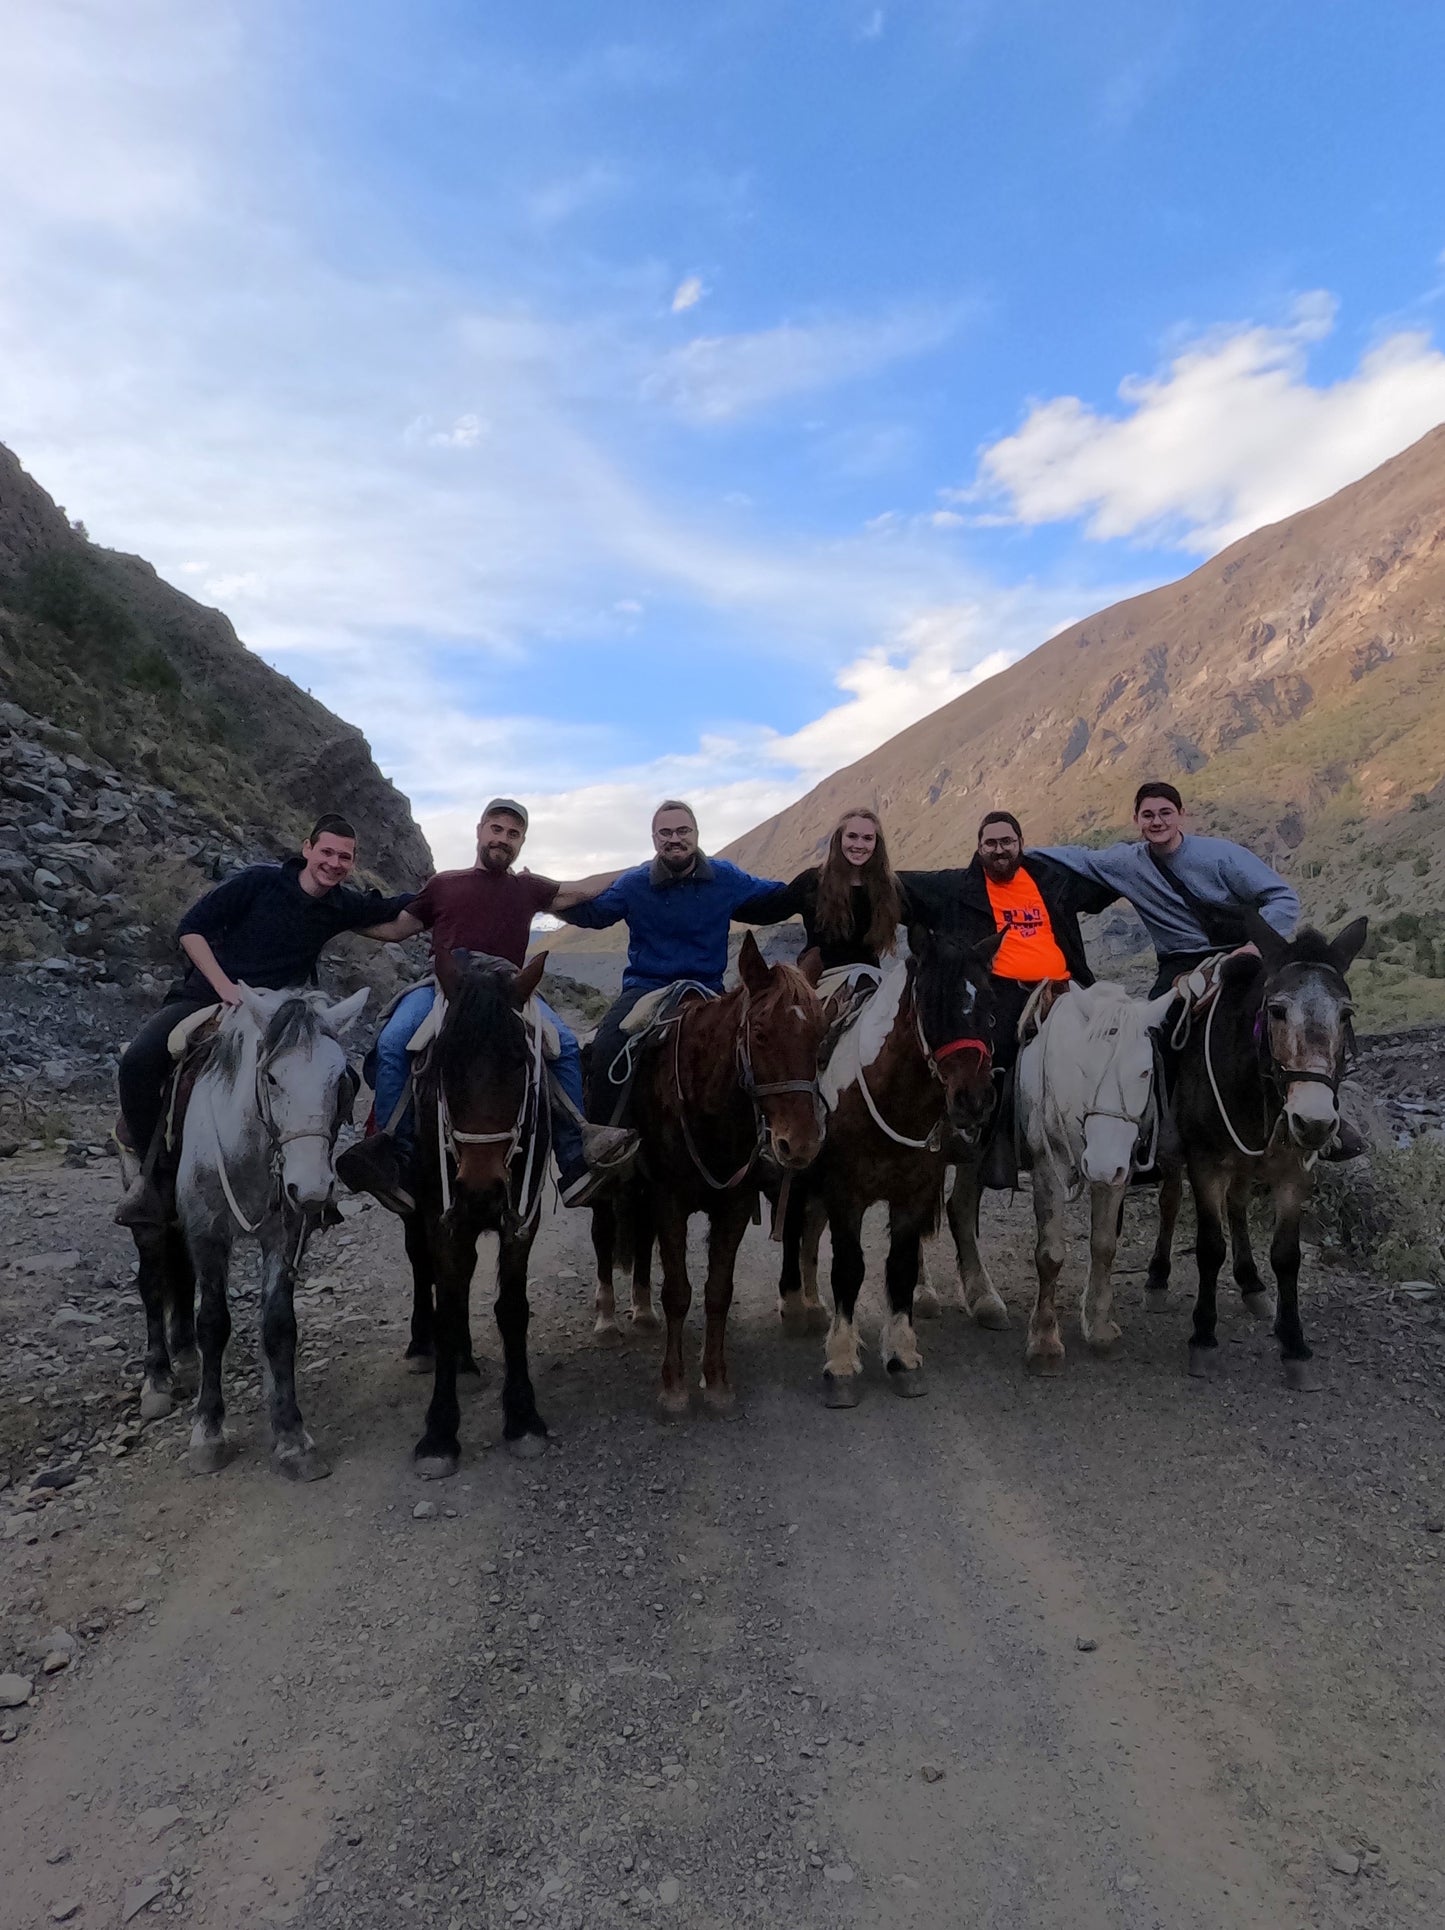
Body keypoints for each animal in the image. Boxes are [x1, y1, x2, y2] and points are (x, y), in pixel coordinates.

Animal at [176, 988, 366, 1482]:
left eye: (340, 1079)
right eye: (274, 1078)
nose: (313, 1189)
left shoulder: (284, 1234)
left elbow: (279, 1325)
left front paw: (291, 1436)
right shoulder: (205, 1234)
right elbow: (213, 1323)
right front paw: (208, 1433)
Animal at [410, 949, 559, 1474]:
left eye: (519, 1062)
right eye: (444, 1062)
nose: (480, 1191)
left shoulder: (522, 1220)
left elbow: (511, 1309)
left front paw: (523, 1417)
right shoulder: (442, 1220)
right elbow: (448, 1307)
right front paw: (438, 1432)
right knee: (422, 1270)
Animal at [594, 934, 829, 1420]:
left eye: (820, 1034)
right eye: (760, 1033)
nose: (799, 1145)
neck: (708, 1108)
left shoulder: (733, 1206)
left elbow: (718, 1290)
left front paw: (717, 1380)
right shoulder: (669, 1201)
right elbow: (678, 1292)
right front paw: (674, 1387)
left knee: (640, 1241)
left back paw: (642, 1312)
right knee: (605, 1236)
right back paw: (607, 1318)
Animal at [790, 926, 1003, 1412]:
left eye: (989, 1001)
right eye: (930, 1001)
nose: (974, 1099)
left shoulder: (913, 1193)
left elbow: (901, 1267)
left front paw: (902, 1357)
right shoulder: (845, 1193)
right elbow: (849, 1268)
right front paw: (841, 1363)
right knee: (796, 1224)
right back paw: (796, 1306)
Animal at [1010, 980, 1172, 1374]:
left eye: (1144, 1072)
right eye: (1084, 1067)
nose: (1099, 1164)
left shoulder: (1117, 1172)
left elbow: (1104, 1246)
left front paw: (1099, 1327)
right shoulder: (1047, 1166)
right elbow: (1050, 1254)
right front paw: (1044, 1341)